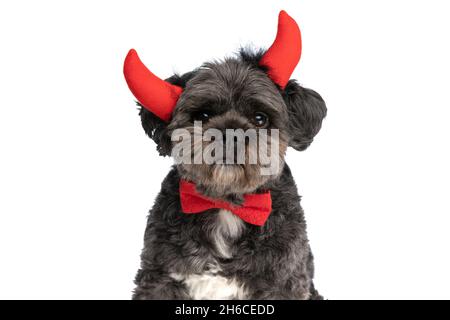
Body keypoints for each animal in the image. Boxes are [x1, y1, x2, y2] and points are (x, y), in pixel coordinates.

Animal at [123, 10, 326, 300]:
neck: (227, 204)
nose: (230, 135)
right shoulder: (159, 277)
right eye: (203, 115)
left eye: (260, 118)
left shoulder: (284, 281)